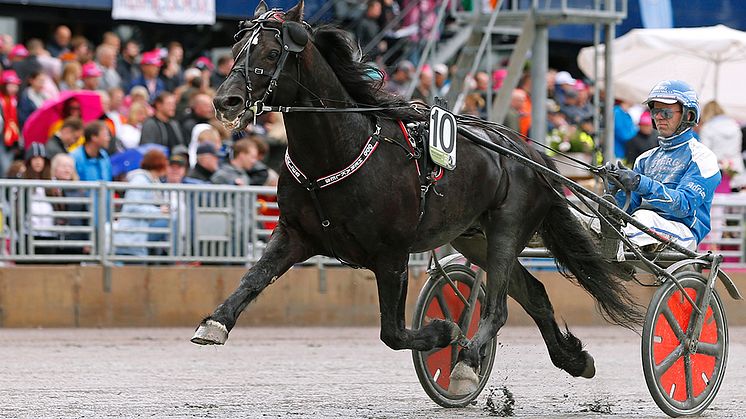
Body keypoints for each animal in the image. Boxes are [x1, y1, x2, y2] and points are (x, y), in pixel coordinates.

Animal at [193, 0, 640, 398]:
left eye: (271, 52)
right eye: (236, 48)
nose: (225, 101)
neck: (337, 152)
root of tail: (526, 151)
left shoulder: (392, 254)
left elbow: (392, 332)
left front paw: (445, 331)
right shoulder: (295, 234)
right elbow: (253, 278)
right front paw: (214, 323)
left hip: (507, 230)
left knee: (498, 308)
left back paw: (466, 362)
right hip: (474, 238)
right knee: (535, 294)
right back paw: (573, 359)